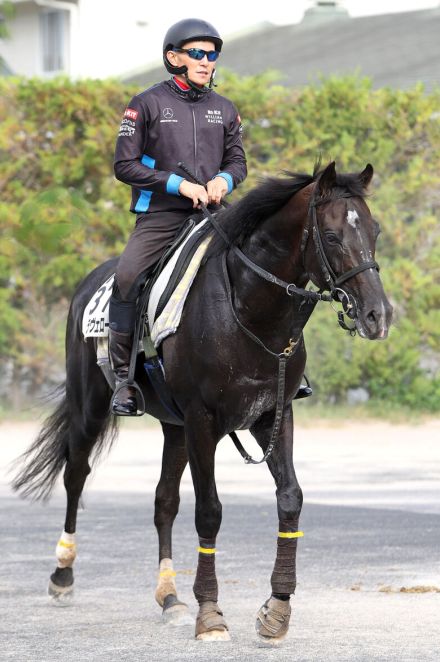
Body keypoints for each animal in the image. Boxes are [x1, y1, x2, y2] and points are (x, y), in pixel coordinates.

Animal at [12, 163, 392, 644]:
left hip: (173, 429)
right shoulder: (202, 422)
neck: (247, 312)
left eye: (374, 230)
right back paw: (62, 576)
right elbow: (209, 512)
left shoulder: (272, 415)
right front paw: (210, 614)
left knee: (163, 502)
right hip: (91, 409)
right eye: (331, 235)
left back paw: (170, 597)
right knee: (76, 475)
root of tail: (90, 282)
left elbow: (290, 498)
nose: (379, 315)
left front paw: (276, 609)